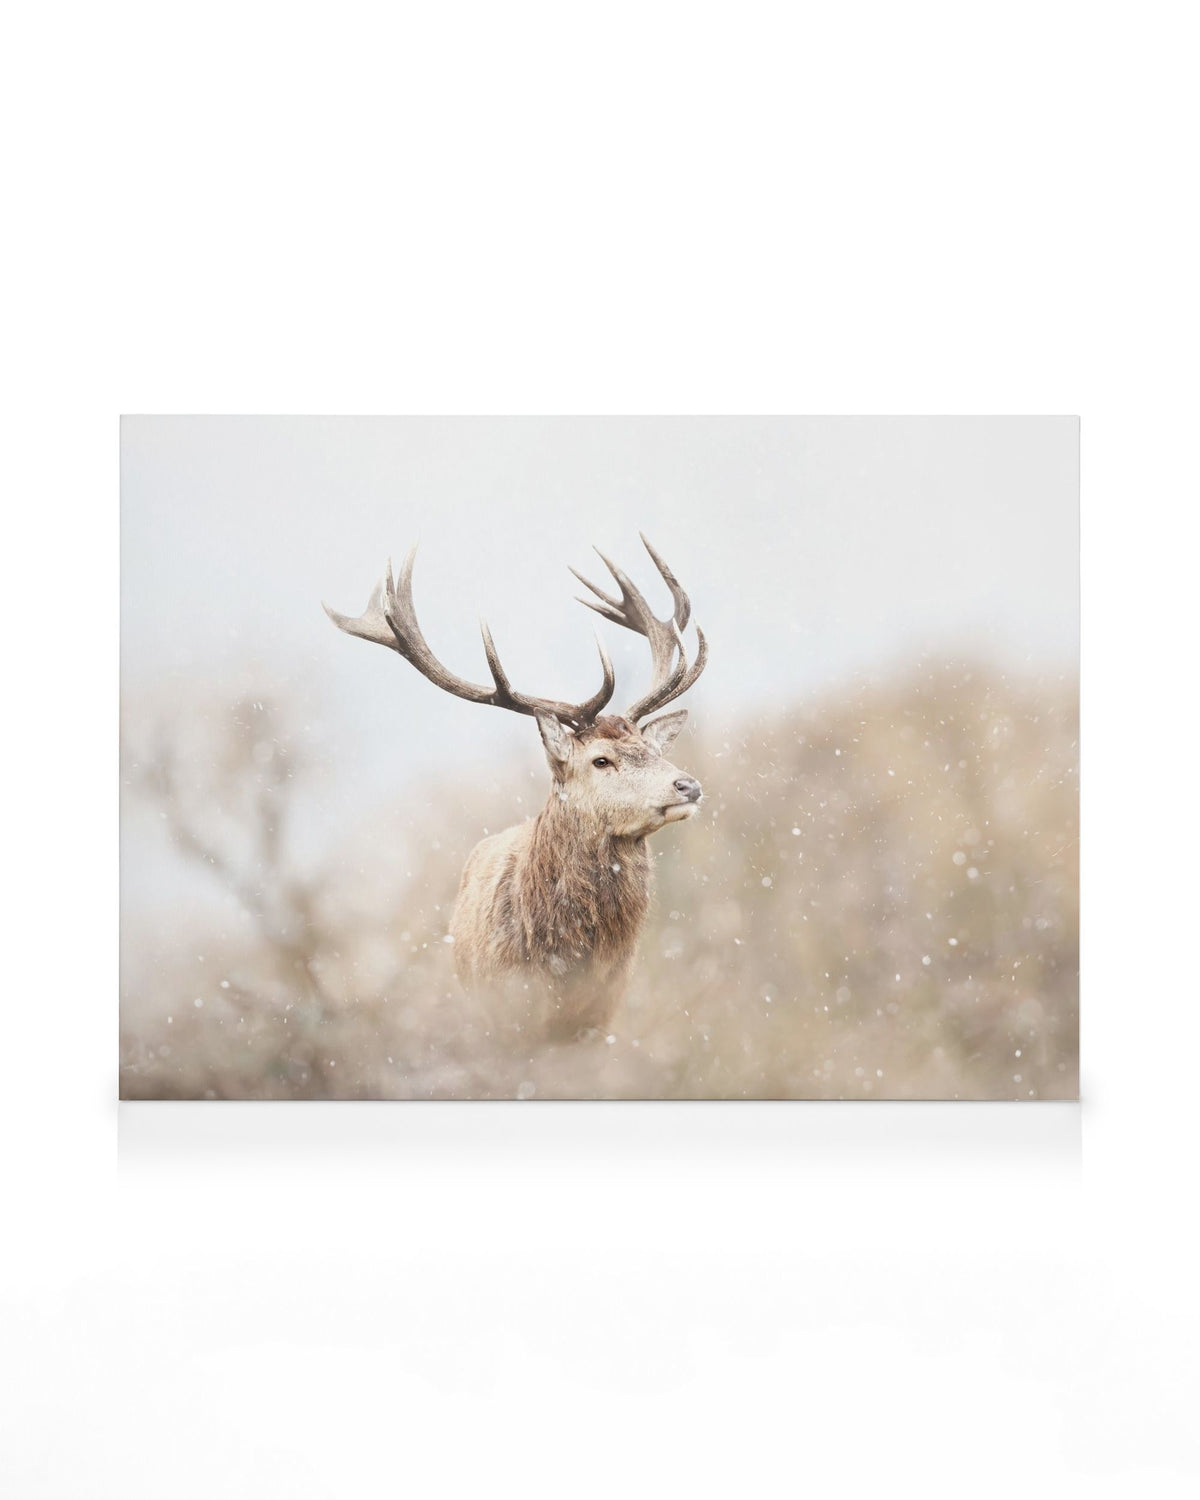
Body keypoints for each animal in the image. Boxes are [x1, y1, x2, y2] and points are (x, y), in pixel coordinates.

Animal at [323, 536, 708, 1042]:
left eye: (650, 747)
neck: (563, 964)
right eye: (600, 759)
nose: (688, 784)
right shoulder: (505, 1013)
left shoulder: (601, 1014)